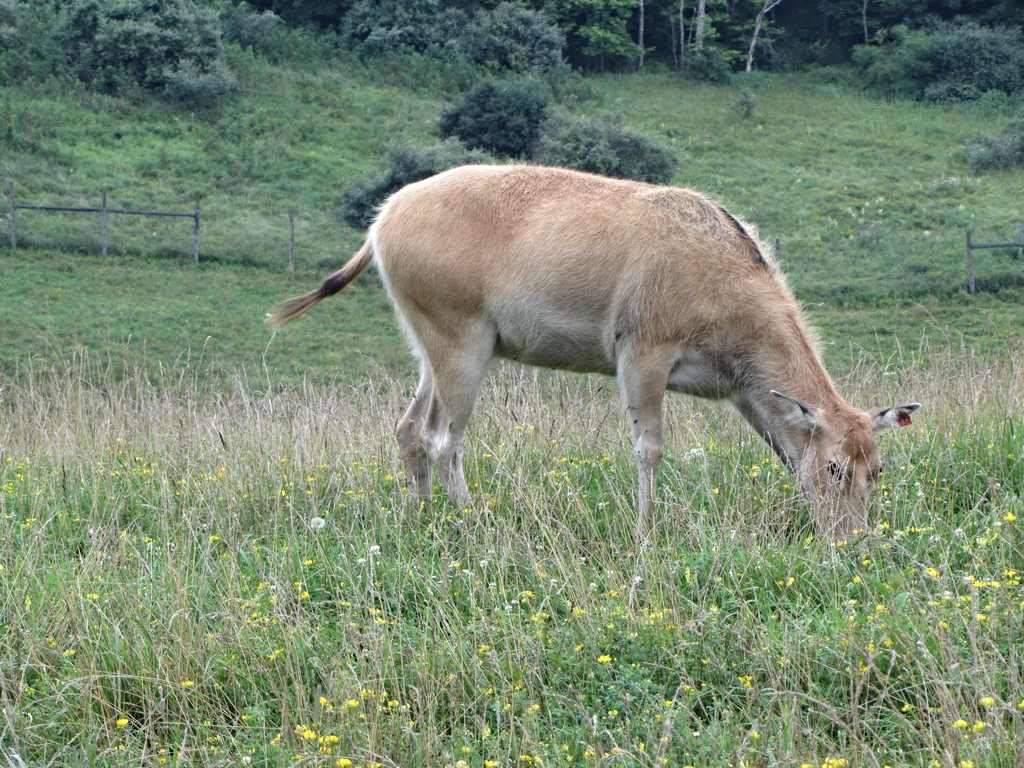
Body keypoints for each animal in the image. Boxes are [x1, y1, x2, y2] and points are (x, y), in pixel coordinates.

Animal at [269, 165, 920, 541]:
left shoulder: (743, 394)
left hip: (427, 342)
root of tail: (381, 221)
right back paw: (470, 521)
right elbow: (649, 449)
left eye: (877, 469)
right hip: (461, 337)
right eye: (835, 467)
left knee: (409, 429)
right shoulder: (642, 350)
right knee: (444, 438)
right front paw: (647, 530)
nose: (852, 540)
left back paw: (423, 518)